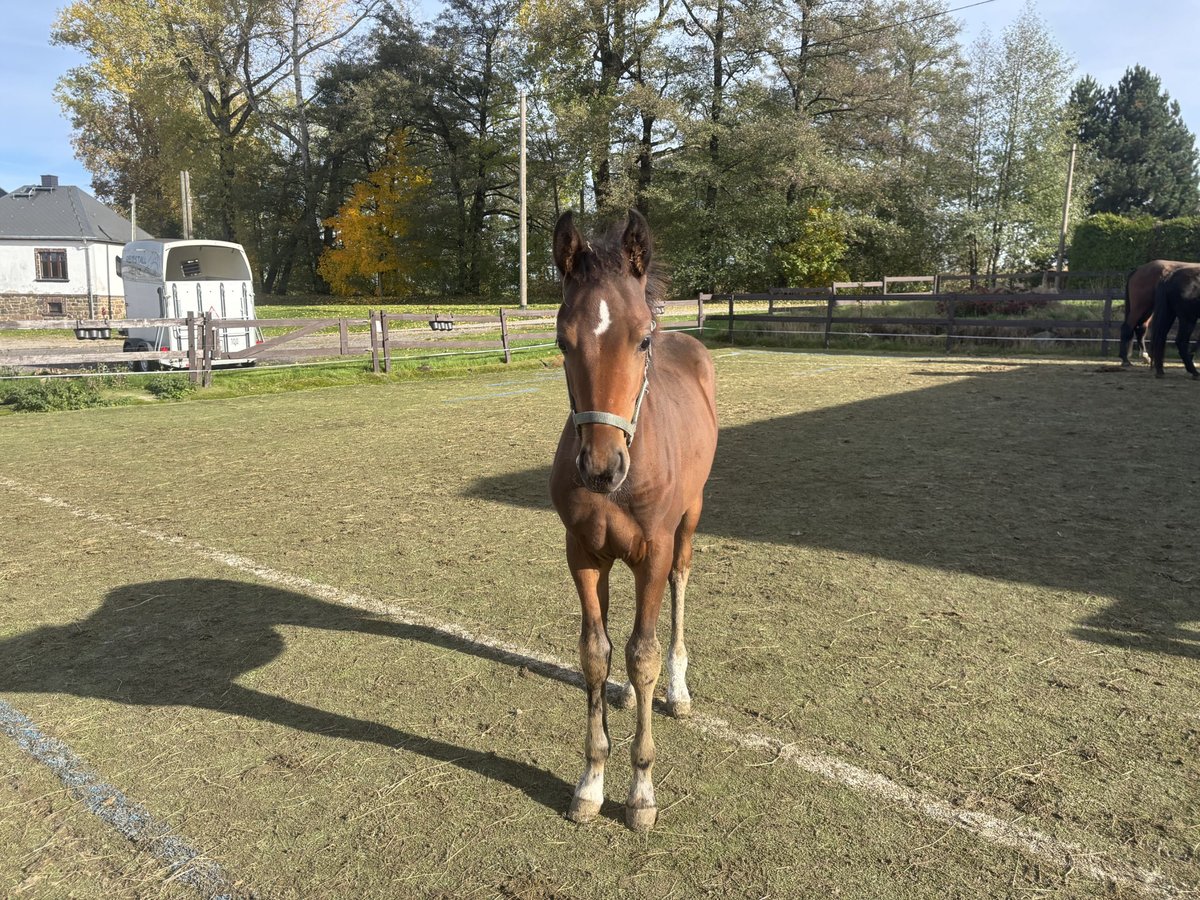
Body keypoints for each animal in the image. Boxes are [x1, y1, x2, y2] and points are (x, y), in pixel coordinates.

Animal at [549, 209, 718, 832]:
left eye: (642, 337)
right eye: (561, 339)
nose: (601, 467)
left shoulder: (653, 552)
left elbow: (641, 654)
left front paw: (641, 791)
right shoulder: (581, 554)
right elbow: (594, 654)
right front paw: (591, 782)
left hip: (689, 520)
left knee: (680, 585)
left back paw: (679, 688)